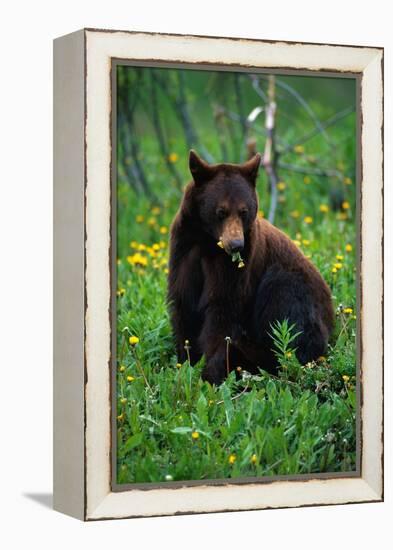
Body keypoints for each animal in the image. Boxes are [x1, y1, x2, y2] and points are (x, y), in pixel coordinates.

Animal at [166, 150, 334, 384]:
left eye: (244, 211)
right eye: (221, 211)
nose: (236, 244)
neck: (208, 242)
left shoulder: (237, 267)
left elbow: (223, 310)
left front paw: (211, 372)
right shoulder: (184, 249)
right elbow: (184, 304)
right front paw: (186, 362)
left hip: (292, 286)